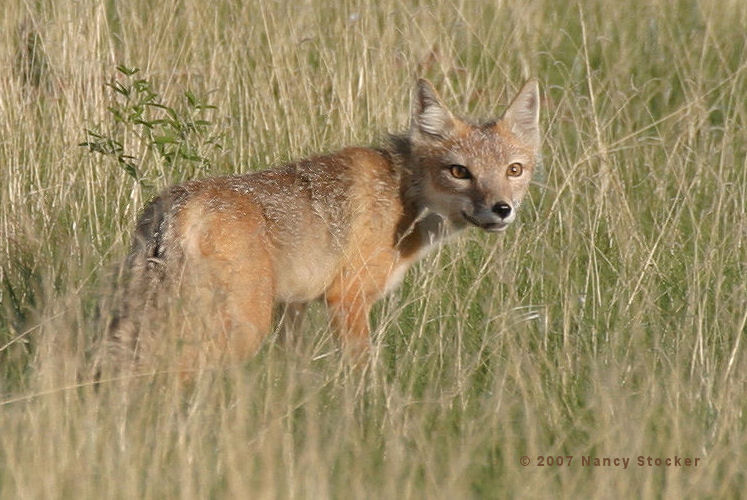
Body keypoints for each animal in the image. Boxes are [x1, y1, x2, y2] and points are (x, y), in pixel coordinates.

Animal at [105, 77, 541, 371]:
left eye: (514, 170)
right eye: (459, 172)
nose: (501, 209)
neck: (402, 192)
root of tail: (176, 203)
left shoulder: (294, 307)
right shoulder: (347, 299)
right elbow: (362, 373)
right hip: (241, 327)